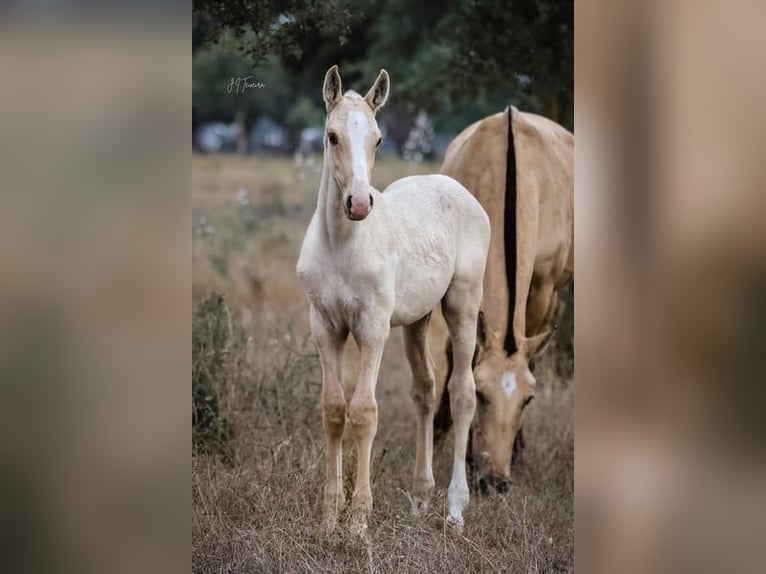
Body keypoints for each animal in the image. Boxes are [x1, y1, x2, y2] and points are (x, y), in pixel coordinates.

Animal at [298, 65, 492, 536]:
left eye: (378, 138)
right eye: (331, 136)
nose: (359, 203)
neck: (342, 245)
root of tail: (455, 186)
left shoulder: (372, 329)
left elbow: (365, 411)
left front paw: (357, 521)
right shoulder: (324, 326)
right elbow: (334, 409)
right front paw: (329, 516)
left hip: (462, 305)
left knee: (462, 392)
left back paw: (455, 508)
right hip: (416, 320)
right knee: (425, 390)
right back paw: (421, 497)